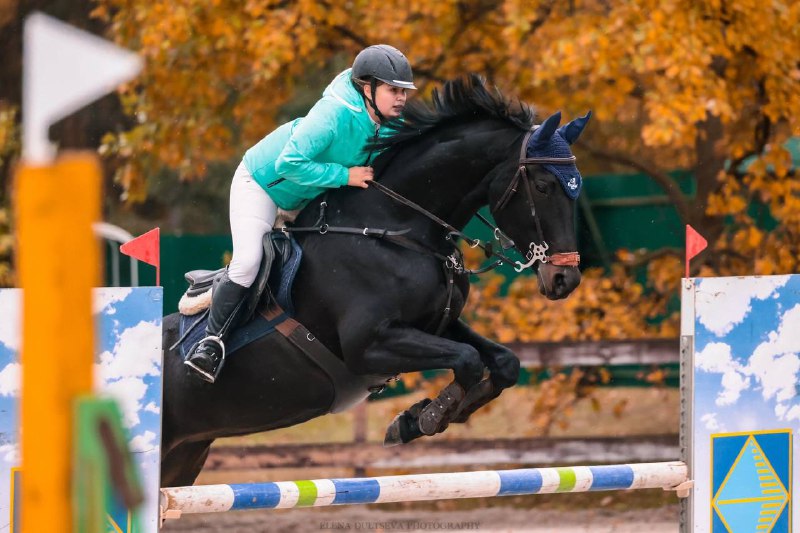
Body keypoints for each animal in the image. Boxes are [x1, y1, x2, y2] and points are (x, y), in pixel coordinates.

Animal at [161, 75, 588, 486]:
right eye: (543, 186)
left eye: (576, 186)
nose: (564, 278)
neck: (396, 228)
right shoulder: (369, 344)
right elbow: (467, 360)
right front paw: (423, 418)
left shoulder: (437, 324)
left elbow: (504, 362)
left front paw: (415, 420)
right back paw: (205, 356)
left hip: (184, 457)